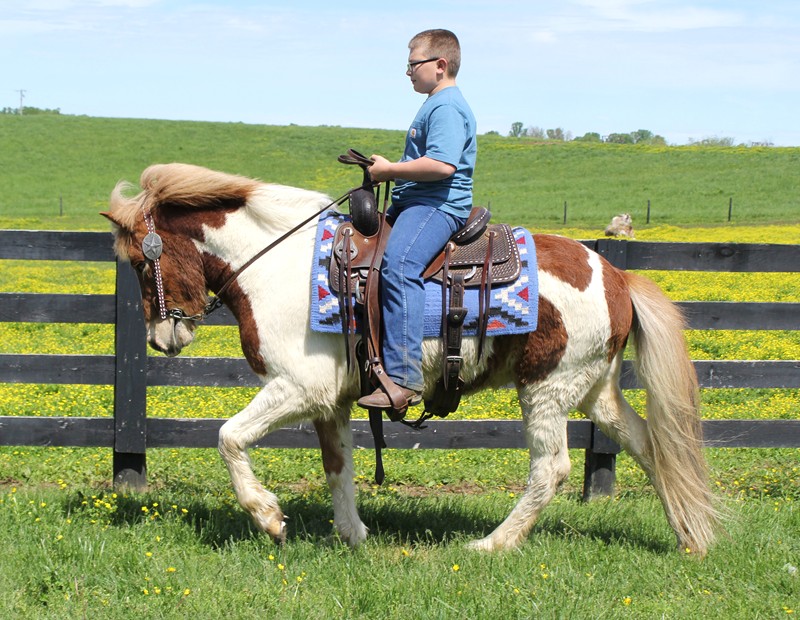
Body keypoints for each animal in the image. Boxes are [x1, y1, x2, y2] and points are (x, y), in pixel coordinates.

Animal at [102, 162, 720, 555]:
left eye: (140, 262)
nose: (162, 338)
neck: (280, 266)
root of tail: (617, 277)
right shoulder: (331, 401)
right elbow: (338, 467)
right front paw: (353, 535)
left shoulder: (297, 387)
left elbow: (229, 436)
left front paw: (269, 519)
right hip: (595, 391)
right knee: (650, 445)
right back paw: (689, 536)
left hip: (546, 389)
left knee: (552, 469)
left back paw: (494, 544)